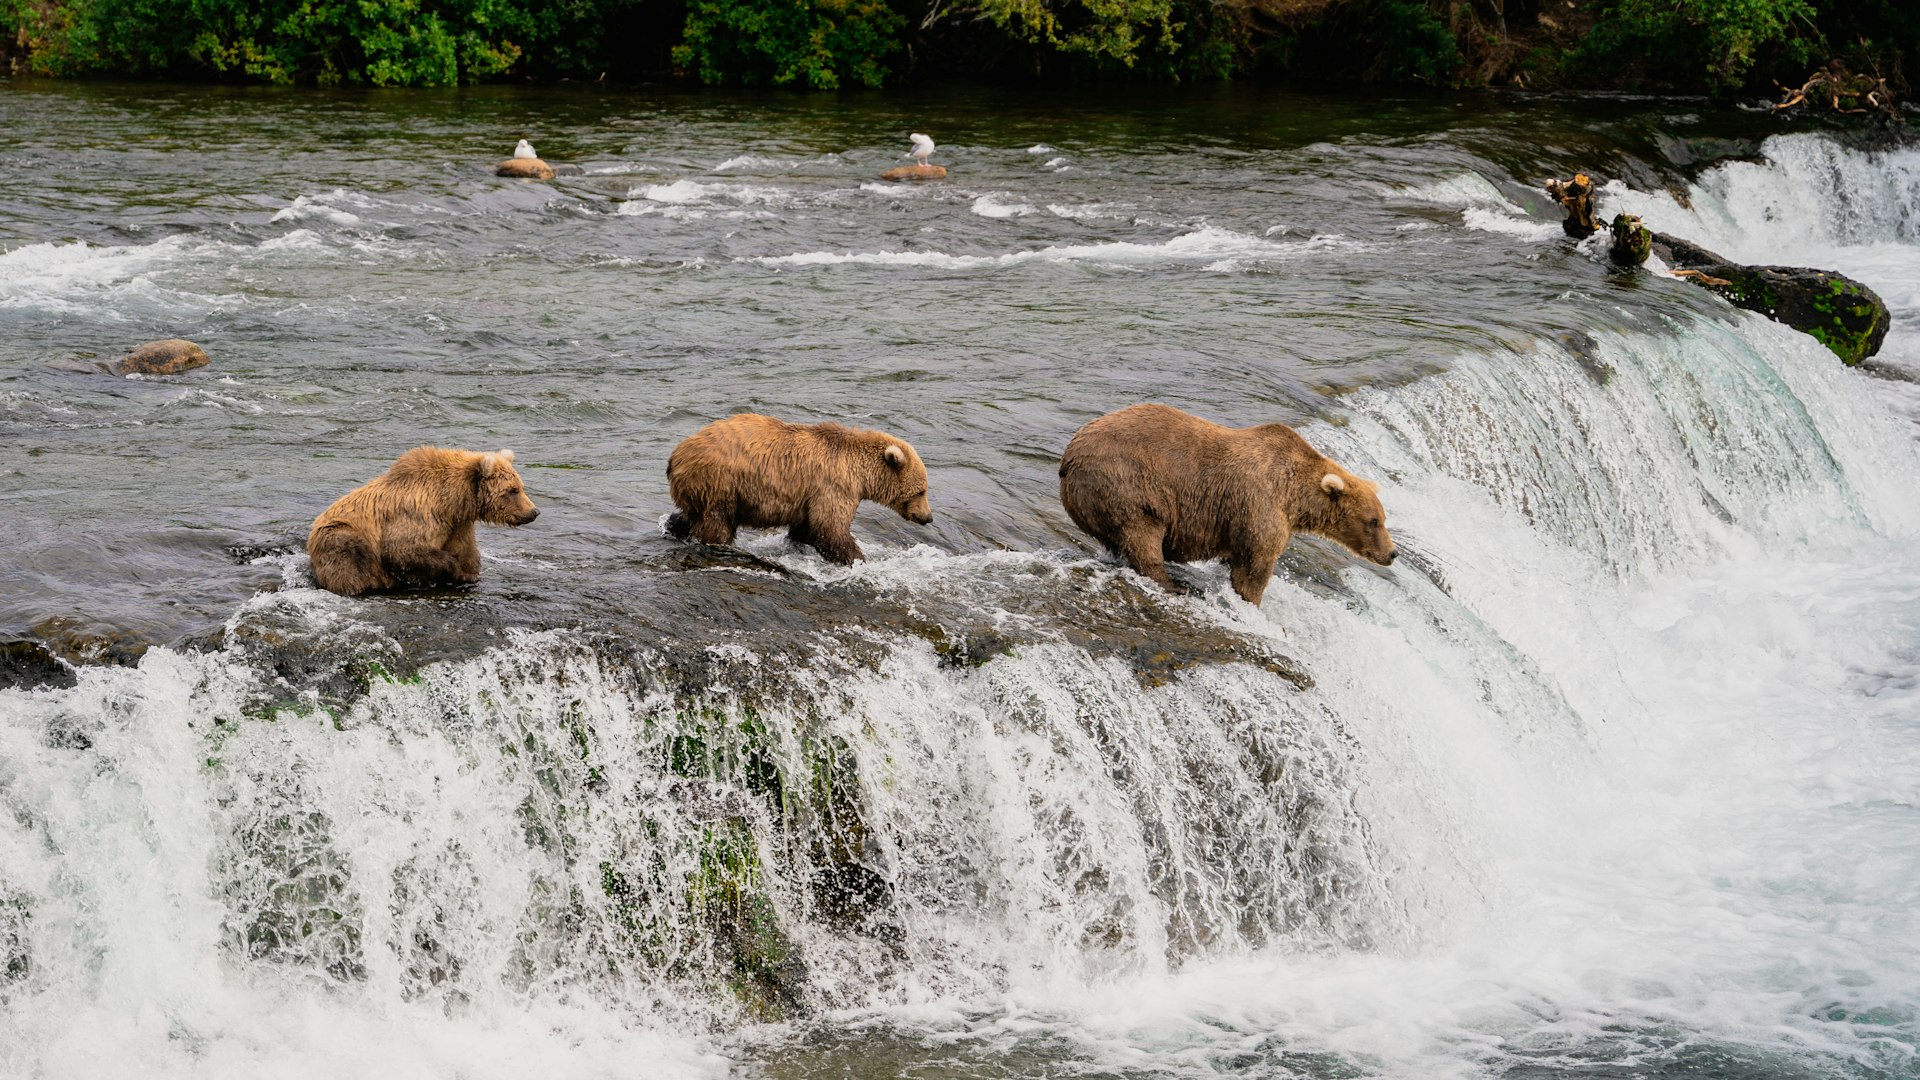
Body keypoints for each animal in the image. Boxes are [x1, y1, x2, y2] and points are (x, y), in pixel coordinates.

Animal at [307, 446, 539, 596]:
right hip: (339, 534)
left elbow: (466, 554)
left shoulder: (458, 524)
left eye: (521, 486)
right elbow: (402, 549)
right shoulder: (419, 513)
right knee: (349, 557)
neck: (453, 500)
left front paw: (467, 574)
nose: (534, 511)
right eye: (512, 490)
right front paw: (450, 568)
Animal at [665, 413, 933, 565]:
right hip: (721, 483)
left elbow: (807, 528)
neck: (860, 473)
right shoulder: (834, 487)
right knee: (718, 523)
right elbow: (830, 528)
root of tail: (677, 454)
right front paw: (857, 559)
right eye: (921, 490)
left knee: (691, 515)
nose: (928, 517)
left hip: (699, 488)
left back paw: (674, 527)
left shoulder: (810, 497)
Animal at [1058, 403, 1395, 606]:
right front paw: (1252, 602)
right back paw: (1171, 584)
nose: (1392, 553)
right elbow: (1255, 564)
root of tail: (1068, 457)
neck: (1296, 498)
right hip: (1127, 484)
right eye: (1373, 521)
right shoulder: (1259, 504)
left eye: (1382, 518)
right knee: (1142, 535)